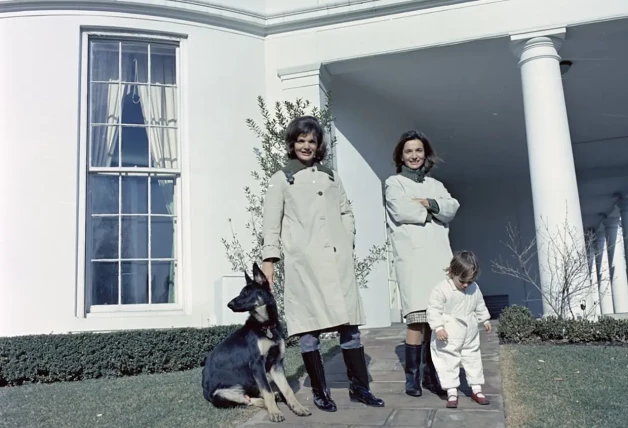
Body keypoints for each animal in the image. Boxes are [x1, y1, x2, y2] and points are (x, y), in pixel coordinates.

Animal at [201, 262, 312, 422]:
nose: (229, 304)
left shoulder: (276, 364)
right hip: (221, 394)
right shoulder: (257, 364)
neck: (266, 325)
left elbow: (287, 389)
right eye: (241, 292)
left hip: (252, 380)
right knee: (249, 400)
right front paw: (275, 412)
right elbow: (267, 392)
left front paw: (297, 407)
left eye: (247, 292)